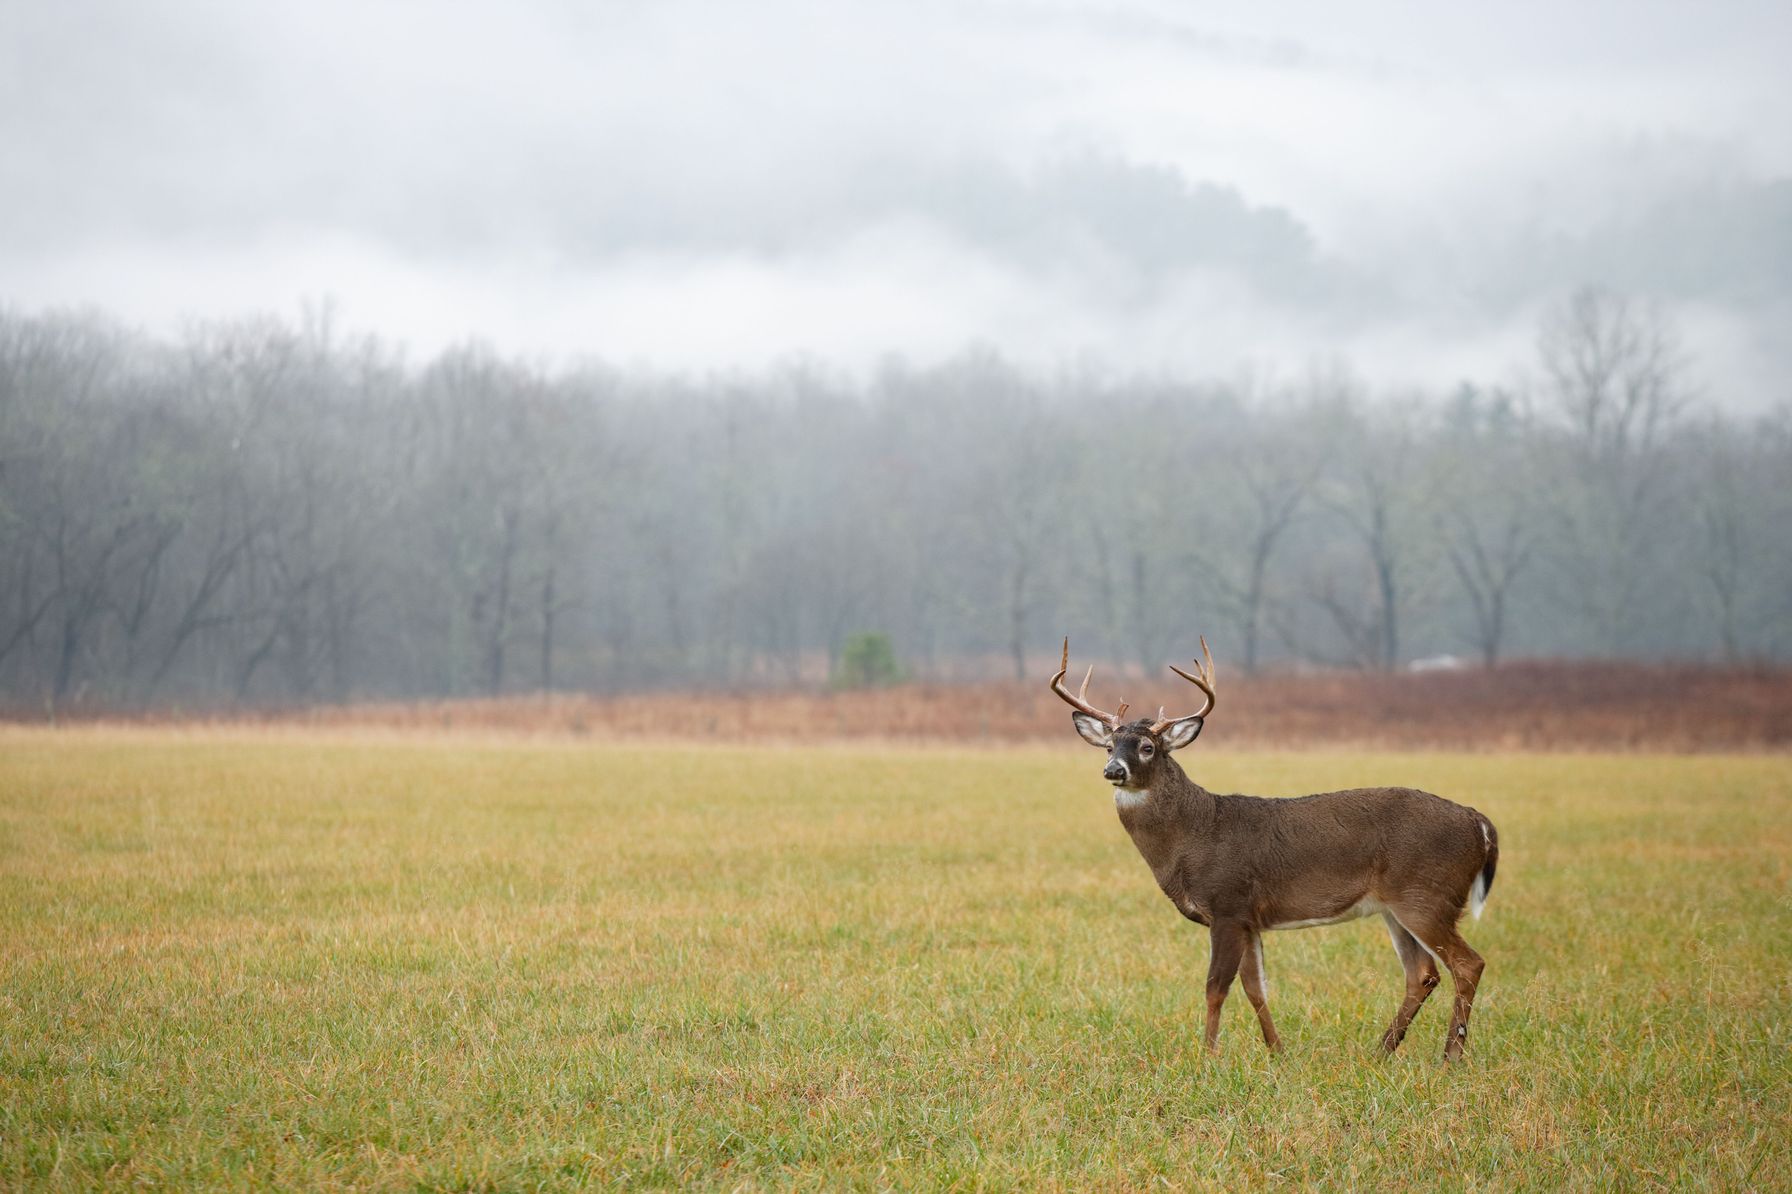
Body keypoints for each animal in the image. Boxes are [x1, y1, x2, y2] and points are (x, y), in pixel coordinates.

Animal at [1051, 638, 1498, 1061]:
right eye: (1109, 746)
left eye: (1146, 748)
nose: (1113, 770)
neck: (1193, 836)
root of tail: (1479, 822)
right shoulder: (1249, 919)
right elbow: (1256, 987)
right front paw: (1277, 1051)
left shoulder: (1228, 905)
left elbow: (1216, 986)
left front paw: (1208, 1055)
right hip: (1396, 906)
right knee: (1422, 973)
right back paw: (1382, 1051)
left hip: (1427, 894)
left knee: (1468, 963)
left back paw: (1450, 1055)